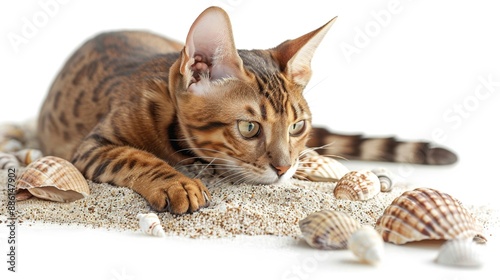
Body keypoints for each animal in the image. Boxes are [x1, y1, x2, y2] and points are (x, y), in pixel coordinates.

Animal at [36, 7, 458, 214]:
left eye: (297, 127)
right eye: (249, 128)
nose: (284, 167)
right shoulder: (92, 146)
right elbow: (136, 157)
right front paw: (177, 182)